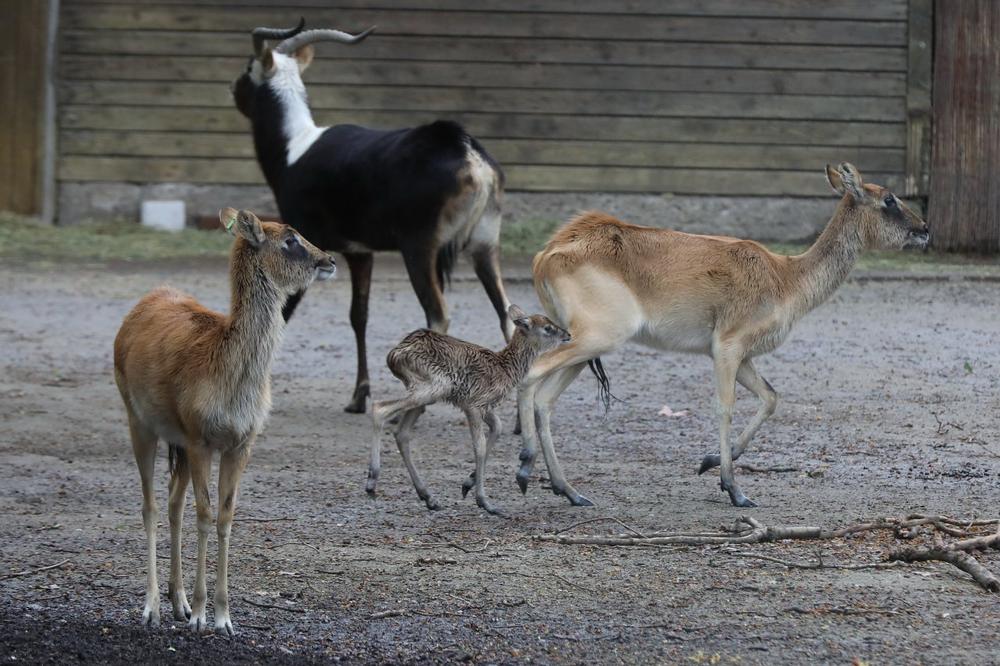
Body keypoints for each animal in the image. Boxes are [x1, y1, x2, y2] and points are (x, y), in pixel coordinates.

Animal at [113, 208, 335, 635]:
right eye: (290, 239)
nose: (329, 259)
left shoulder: (241, 441)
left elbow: (225, 517)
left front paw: (223, 617)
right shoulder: (200, 435)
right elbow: (204, 514)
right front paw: (202, 617)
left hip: (177, 438)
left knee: (173, 502)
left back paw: (178, 602)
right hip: (138, 418)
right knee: (151, 505)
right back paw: (152, 608)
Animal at [232, 19, 512, 414]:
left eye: (247, 68)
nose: (234, 89)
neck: (295, 147)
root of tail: (468, 152)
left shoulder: (300, 244)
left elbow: (283, 311)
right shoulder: (360, 252)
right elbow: (358, 316)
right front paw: (357, 396)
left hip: (419, 249)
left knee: (438, 313)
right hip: (485, 246)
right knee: (507, 314)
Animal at [366, 305, 570, 515]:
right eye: (547, 328)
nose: (568, 334)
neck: (504, 369)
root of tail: (393, 355)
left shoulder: (483, 407)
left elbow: (497, 428)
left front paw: (467, 484)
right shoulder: (473, 405)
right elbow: (479, 445)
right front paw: (485, 502)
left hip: (425, 393)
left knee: (402, 433)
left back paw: (429, 498)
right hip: (433, 388)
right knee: (379, 408)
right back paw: (372, 482)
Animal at [516, 163, 929, 508]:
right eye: (889, 199)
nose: (925, 229)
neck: (786, 278)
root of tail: (546, 254)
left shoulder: (743, 356)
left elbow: (770, 398)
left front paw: (708, 462)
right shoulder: (726, 348)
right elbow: (725, 407)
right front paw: (734, 489)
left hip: (582, 346)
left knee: (545, 400)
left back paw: (569, 491)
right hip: (597, 338)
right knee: (531, 376)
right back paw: (524, 466)